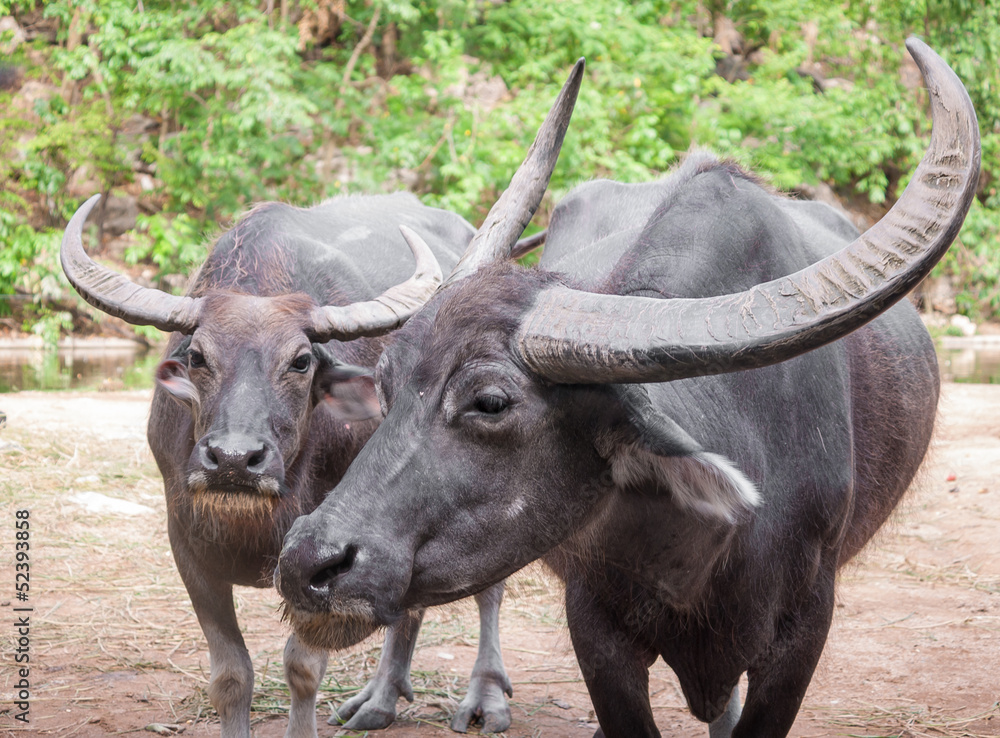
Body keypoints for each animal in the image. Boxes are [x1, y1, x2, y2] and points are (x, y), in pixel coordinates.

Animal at [59, 194, 516, 735]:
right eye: (197, 356)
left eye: (300, 361)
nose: (234, 460)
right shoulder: (187, 547)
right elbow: (231, 675)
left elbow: (302, 667)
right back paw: (380, 700)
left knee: (490, 590)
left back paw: (486, 696)